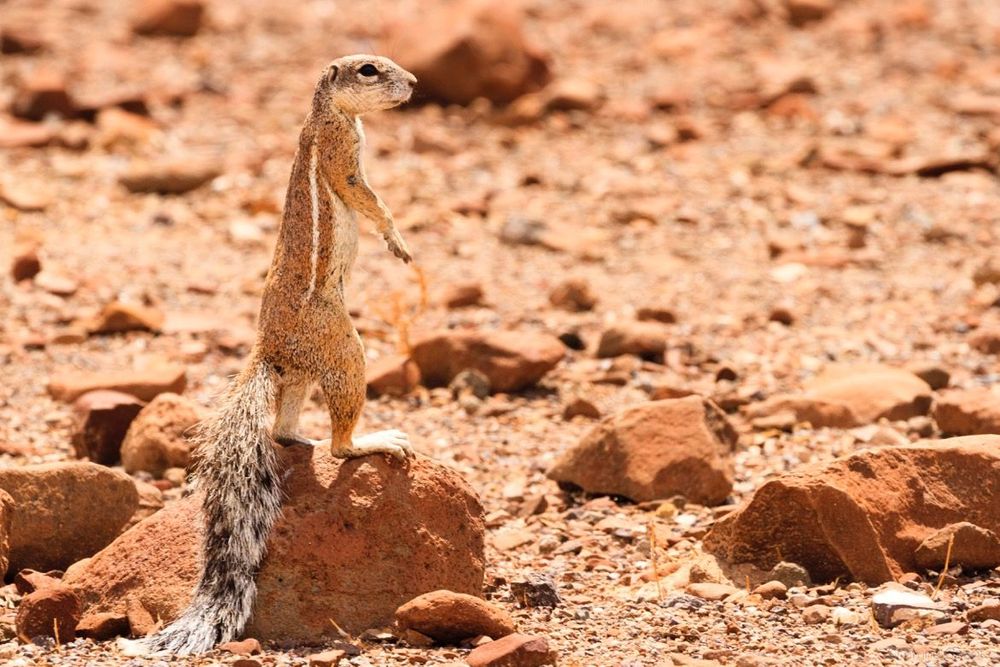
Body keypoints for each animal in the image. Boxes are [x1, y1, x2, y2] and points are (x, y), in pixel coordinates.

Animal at [120, 55, 418, 656]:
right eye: (370, 70)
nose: (415, 84)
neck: (329, 112)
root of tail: (266, 350)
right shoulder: (342, 152)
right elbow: (363, 194)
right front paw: (397, 239)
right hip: (345, 349)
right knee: (341, 442)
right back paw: (371, 440)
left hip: (299, 377)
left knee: (282, 428)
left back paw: (299, 437)